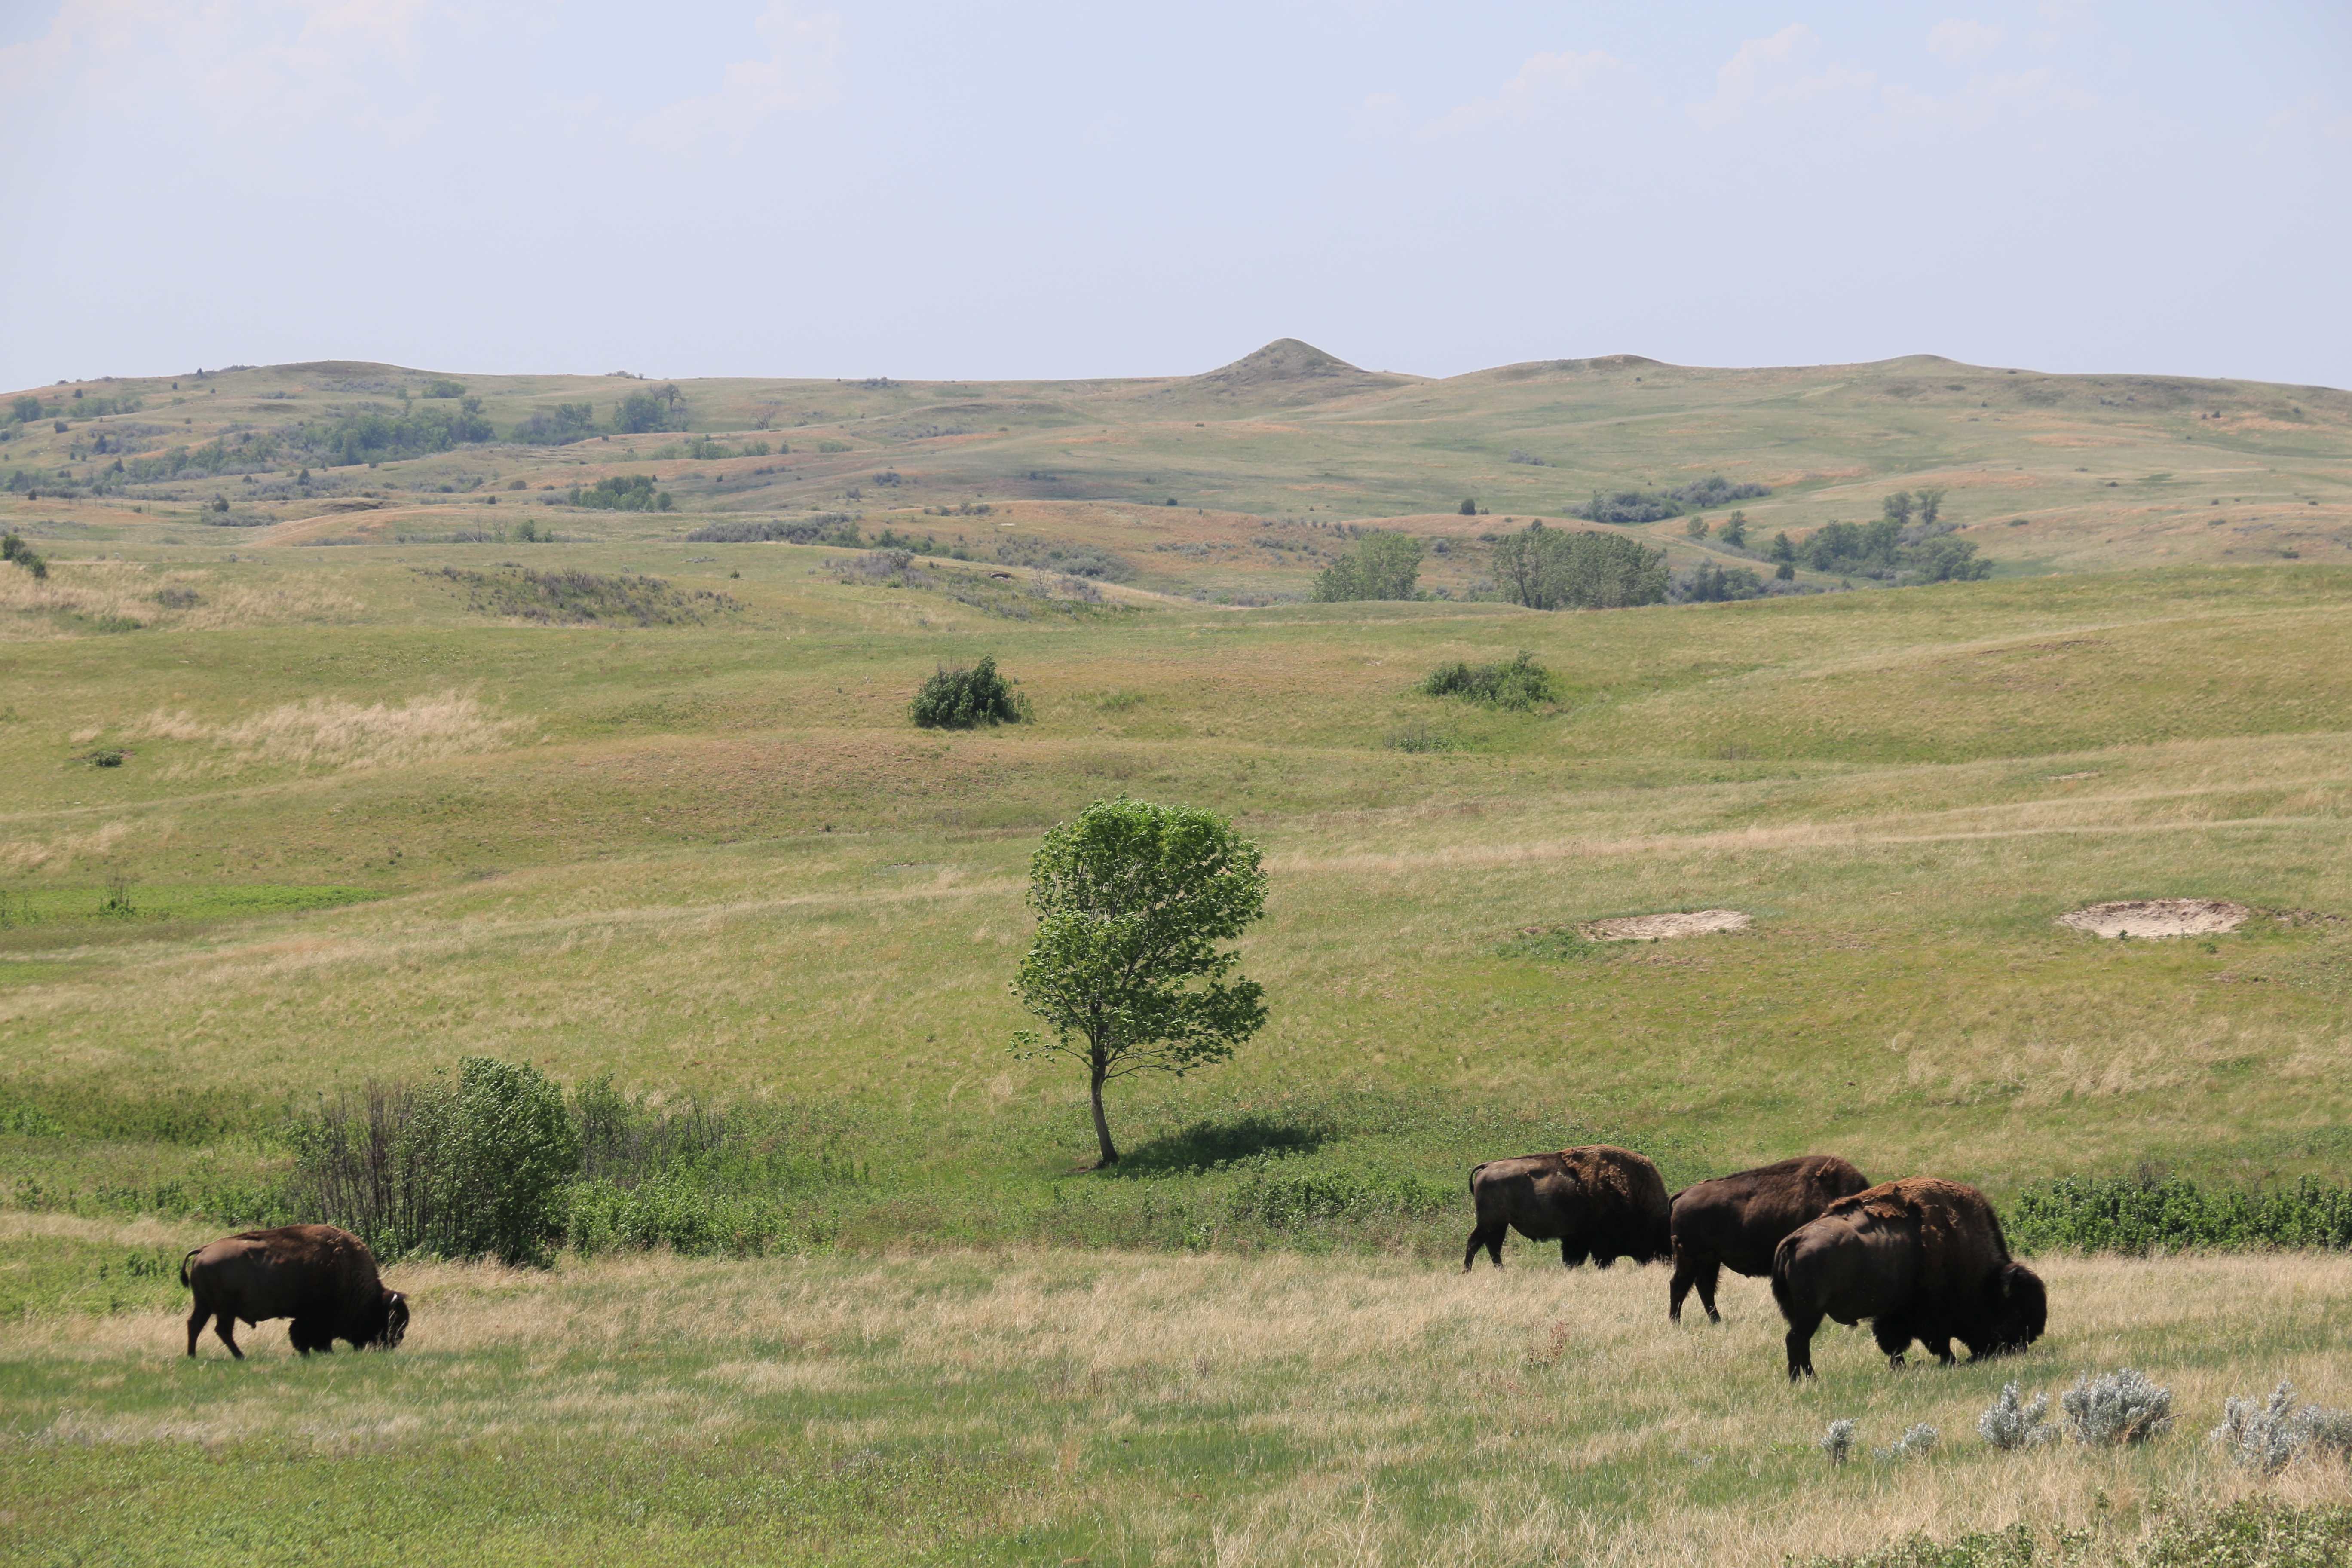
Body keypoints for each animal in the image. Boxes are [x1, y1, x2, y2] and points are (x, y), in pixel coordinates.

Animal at [180, 1222, 409, 1354]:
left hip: (205, 1305)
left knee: (195, 1325)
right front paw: (318, 1351)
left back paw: (193, 1355)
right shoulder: (314, 1317)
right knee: (221, 1330)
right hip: (224, 1310)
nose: (396, 1342)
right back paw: (240, 1357)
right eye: (391, 1320)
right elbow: (307, 1334)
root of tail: (203, 1250)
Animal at [1458, 1142, 1684, 1279]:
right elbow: (1595, 1259)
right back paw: (1476, 1272)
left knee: (1487, 1245)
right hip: (1493, 1223)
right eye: (1663, 1235)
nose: (1671, 1262)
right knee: (1482, 1244)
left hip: (1496, 1224)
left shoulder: (1576, 1239)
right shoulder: (1596, 1243)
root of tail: (1487, 1166)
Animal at [1675, 1152, 1872, 1326]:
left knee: (1704, 1287)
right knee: (1680, 1285)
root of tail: (1683, 1194)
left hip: (1711, 1260)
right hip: (1691, 1258)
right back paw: (1676, 1322)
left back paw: (1716, 1321)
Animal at [1768, 1175, 2051, 1382]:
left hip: (1801, 1311)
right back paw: (1806, 1379)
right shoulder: (1928, 1314)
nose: (2019, 1347)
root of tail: (1795, 1240)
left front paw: (1899, 1367)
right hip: (1811, 1311)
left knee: (1797, 1340)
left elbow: (1893, 1342)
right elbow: (1935, 1341)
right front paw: (1950, 1362)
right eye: (2014, 1312)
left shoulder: (1894, 1312)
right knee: (1798, 1340)